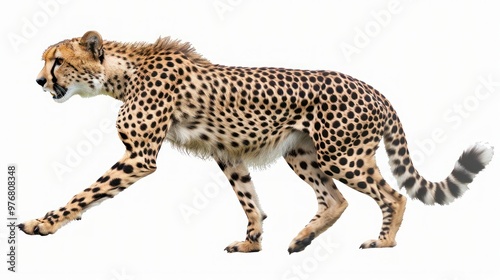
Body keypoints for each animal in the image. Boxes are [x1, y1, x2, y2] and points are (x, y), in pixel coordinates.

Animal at [18, 31, 492, 254]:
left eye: (56, 61)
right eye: (44, 62)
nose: (38, 82)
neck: (122, 72)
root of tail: (375, 89)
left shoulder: (139, 157)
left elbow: (86, 192)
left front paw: (44, 223)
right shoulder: (227, 153)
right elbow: (249, 200)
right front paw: (252, 242)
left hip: (342, 155)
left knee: (394, 196)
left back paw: (383, 243)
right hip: (302, 152)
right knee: (335, 200)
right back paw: (302, 239)